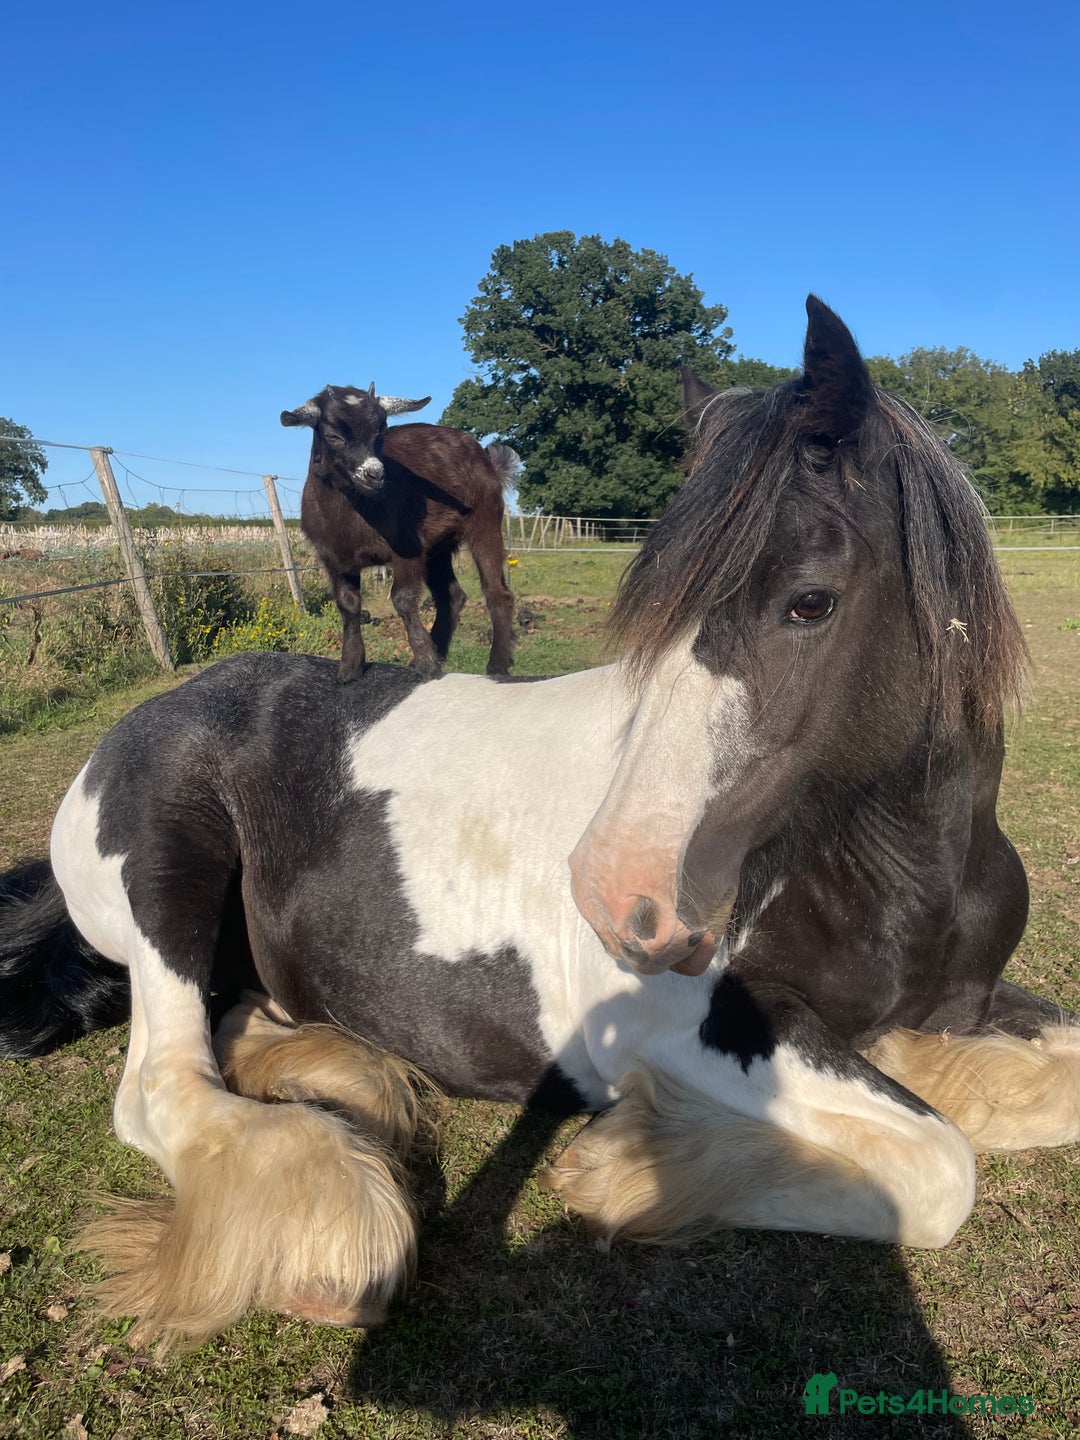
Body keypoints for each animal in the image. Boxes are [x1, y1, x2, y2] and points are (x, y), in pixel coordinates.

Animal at [2, 297, 1078, 1353]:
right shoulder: (679, 1028)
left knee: (244, 1025)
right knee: (162, 1085)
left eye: (811, 602)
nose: (618, 893)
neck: (899, 874)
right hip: (168, 876)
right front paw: (631, 1169)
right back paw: (332, 1236)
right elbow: (940, 1169)